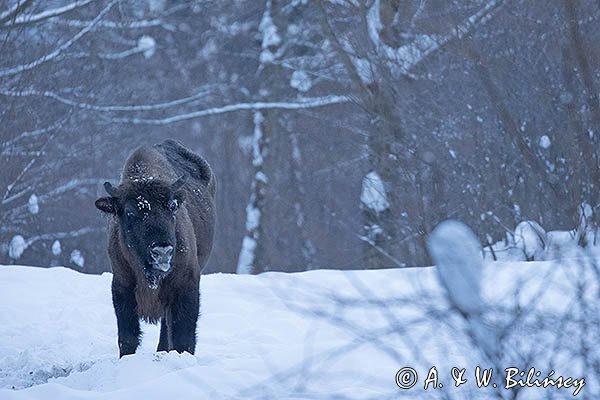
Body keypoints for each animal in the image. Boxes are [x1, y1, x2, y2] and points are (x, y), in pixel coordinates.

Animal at [94, 140, 216, 356]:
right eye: (129, 212)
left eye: (172, 207)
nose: (162, 251)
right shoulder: (122, 285)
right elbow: (128, 337)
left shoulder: (186, 284)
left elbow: (183, 338)